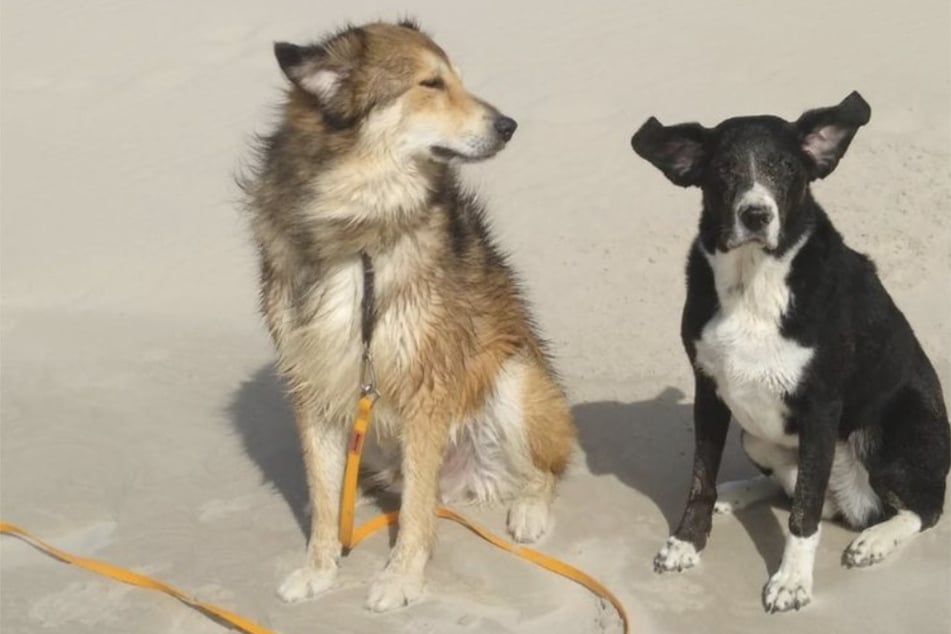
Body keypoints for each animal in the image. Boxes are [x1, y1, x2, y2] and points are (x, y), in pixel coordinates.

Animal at [242, 19, 576, 608]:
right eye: (431, 84)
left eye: (456, 79)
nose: (508, 125)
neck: (357, 225)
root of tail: (467, 479)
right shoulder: (312, 381)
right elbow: (325, 497)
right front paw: (318, 566)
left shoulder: (425, 384)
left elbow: (418, 513)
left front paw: (401, 579)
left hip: (516, 378)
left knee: (542, 468)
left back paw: (530, 509)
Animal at [632, 91, 951, 608]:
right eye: (722, 169)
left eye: (785, 167)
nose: (755, 215)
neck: (754, 279)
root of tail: (850, 505)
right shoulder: (708, 390)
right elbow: (701, 476)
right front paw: (686, 541)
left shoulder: (820, 408)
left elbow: (804, 512)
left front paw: (792, 581)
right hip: (753, 432)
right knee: (784, 484)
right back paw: (738, 491)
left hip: (885, 431)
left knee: (922, 508)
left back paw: (875, 539)